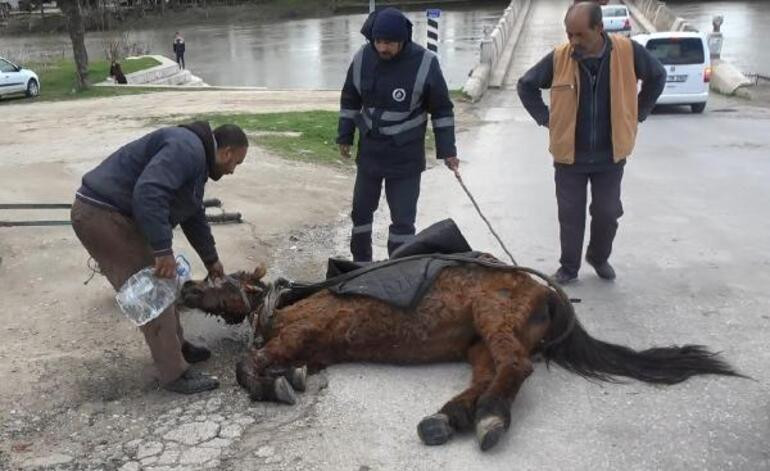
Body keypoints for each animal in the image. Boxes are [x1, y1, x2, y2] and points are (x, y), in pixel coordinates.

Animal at [178, 260, 736, 452]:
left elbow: (248, 367)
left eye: (217, 279)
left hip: (494, 320)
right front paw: (288, 377)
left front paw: (274, 383)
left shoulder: (302, 334)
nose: (183, 287)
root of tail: (545, 292)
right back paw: (454, 417)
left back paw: (486, 417)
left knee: (516, 367)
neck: (283, 303)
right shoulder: (313, 349)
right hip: (477, 341)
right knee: (492, 373)